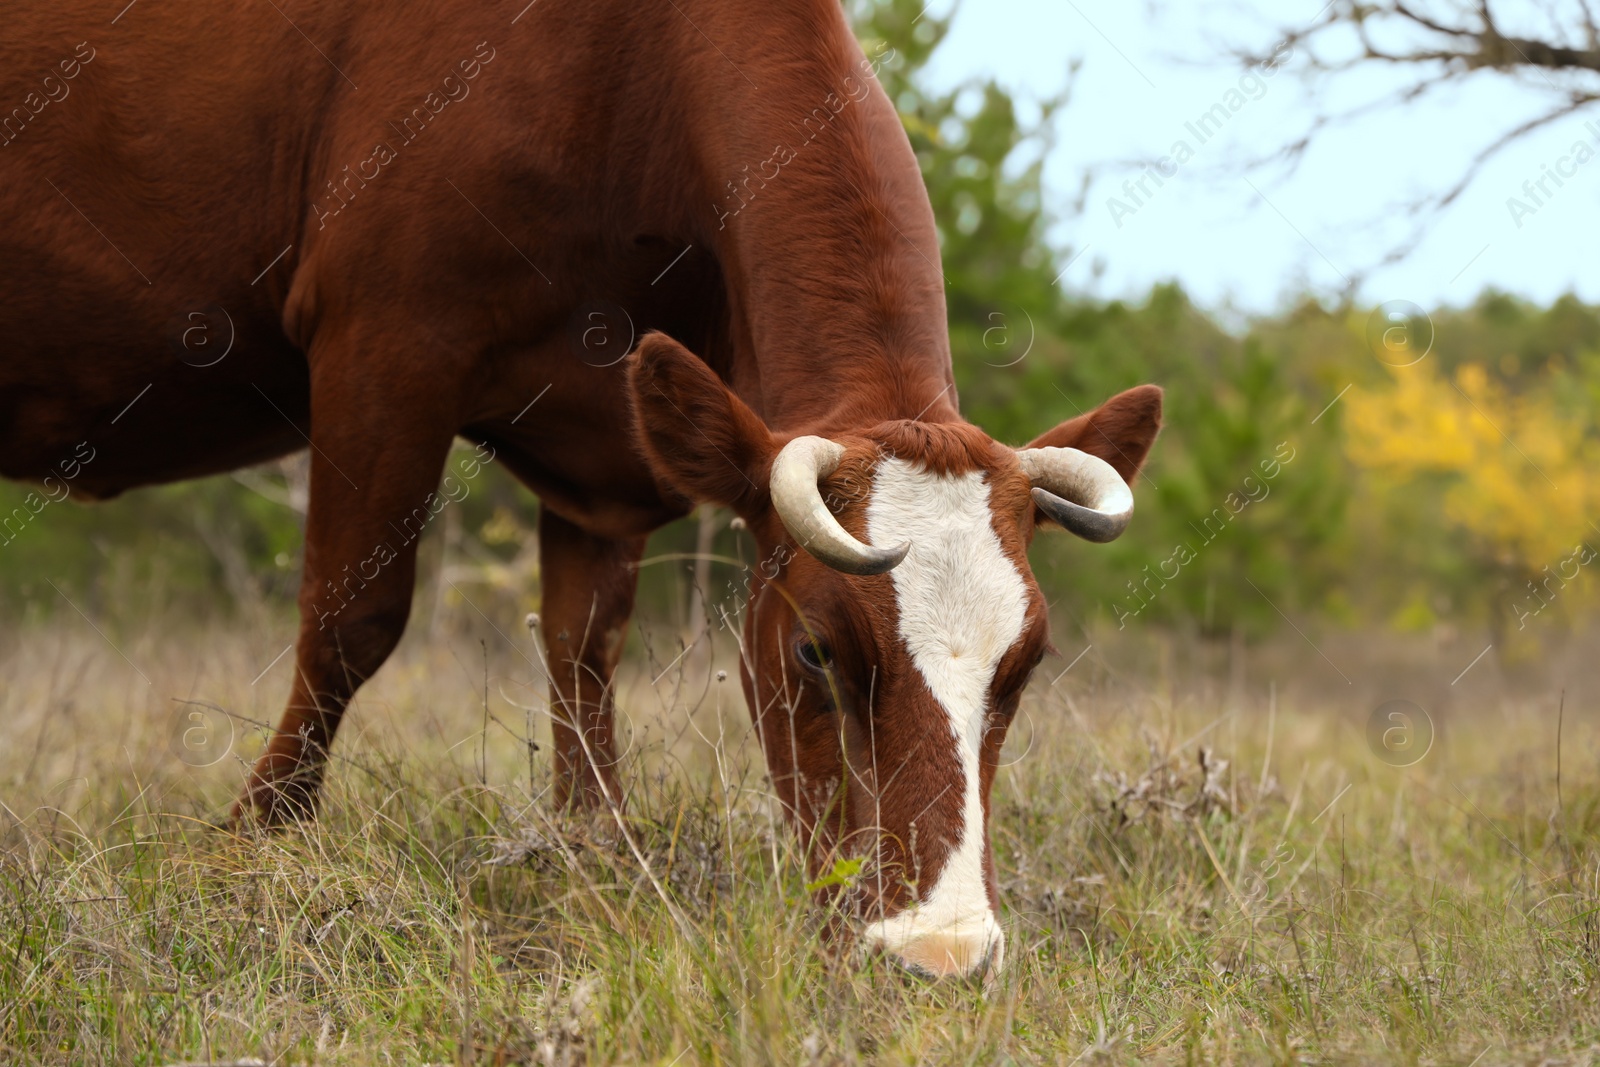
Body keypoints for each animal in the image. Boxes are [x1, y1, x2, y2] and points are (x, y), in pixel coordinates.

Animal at [0, 0, 1158, 979]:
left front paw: (591, 857)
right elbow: (349, 620)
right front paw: (251, 848)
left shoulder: (606, 454)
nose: (941, 954)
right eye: (815, 652)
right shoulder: (383, 338)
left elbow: (583, 648)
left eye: (1027, 664)